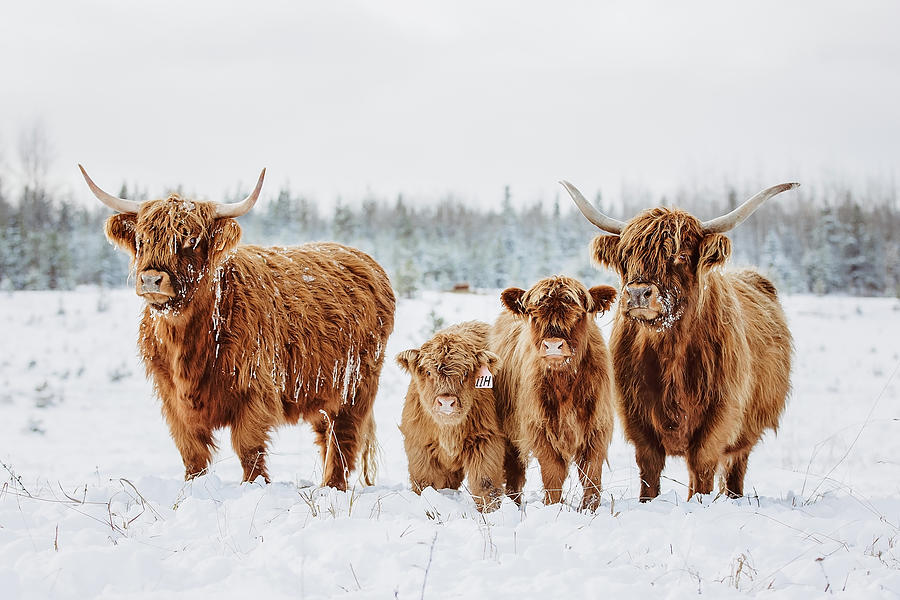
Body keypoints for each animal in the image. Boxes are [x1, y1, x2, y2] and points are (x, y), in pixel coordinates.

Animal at [79, 164, 396, 488]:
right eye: (142, 239)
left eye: (190, 240)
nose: (151, 279)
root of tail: (363, 259)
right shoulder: (172, 399)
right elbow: (192, 453)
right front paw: (193, 487)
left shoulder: (254, 390)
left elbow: (248, 448)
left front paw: (254, 485)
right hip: (320, 391)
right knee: (325, 436)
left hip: (356, 386)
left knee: (344, 438)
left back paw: (332, 487)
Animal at [396, 322, 506, 512]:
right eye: (428, 372)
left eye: (466, 373)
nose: (446, 402)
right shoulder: (420, 446)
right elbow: (426, 483)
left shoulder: (486, 441)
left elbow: (486, 483)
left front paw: (492, 512)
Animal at [492, 276, 620, 510]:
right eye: (534, 315)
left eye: (578, 315)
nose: (553, 346)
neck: (565, 382)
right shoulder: (540, 426)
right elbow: (553, 472)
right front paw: (553, 506)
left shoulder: (597, 426)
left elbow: (591, 473)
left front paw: (590, 508)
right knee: (515, 473)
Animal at [568, 180, 800, 500]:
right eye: (627, 256)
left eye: (679, 256)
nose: (637, 293)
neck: (670, 348)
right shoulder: (635, 411)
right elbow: (649, 466)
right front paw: (647, 502)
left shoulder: (721, 410)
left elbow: (702, 463)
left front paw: (699, 504)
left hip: (746, 433)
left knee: (733, 470)